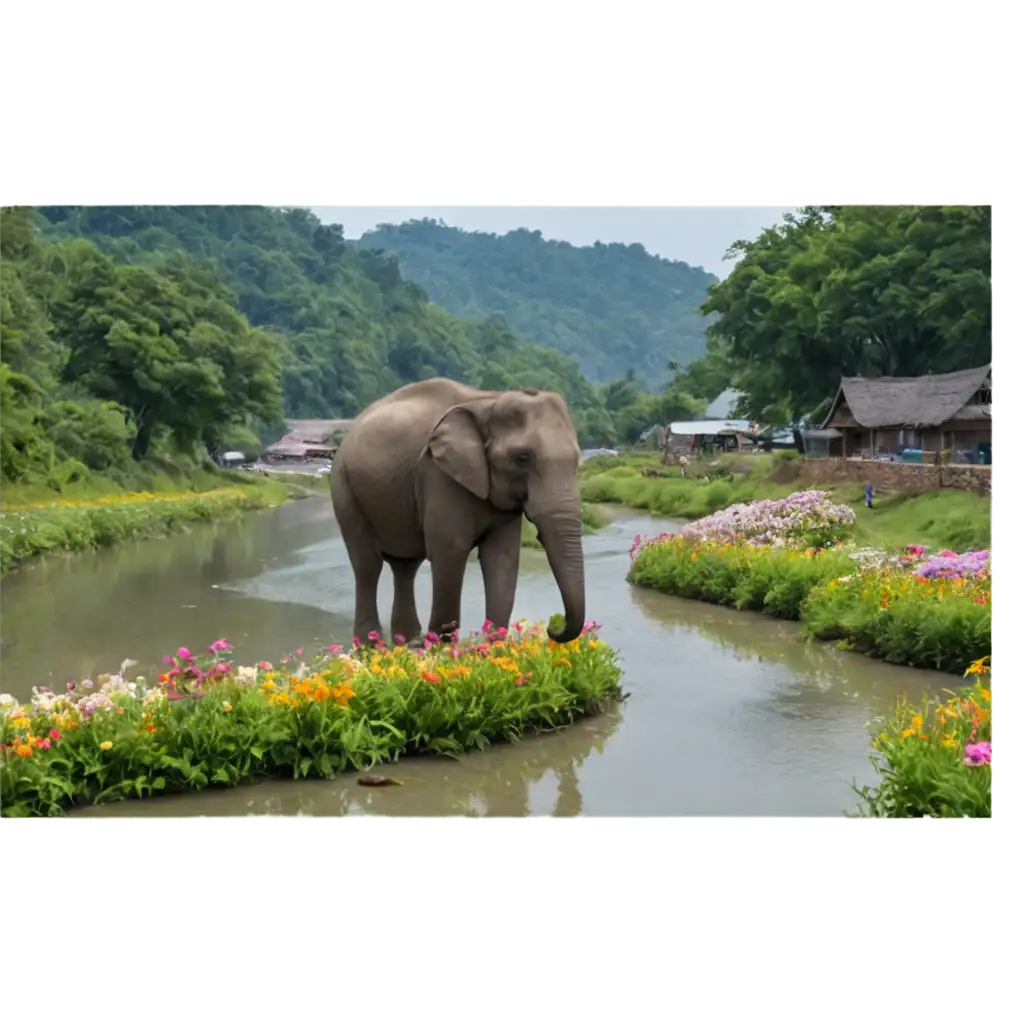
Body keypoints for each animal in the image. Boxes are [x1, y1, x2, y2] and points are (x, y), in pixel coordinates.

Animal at [327, 376, 585, 647]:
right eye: (522, 458)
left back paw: (406, 644)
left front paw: (490, 650)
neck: (489, 400)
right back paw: (371, 647)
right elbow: (451, 551)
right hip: (344, 486)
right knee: (368, 565)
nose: (553, 626)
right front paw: (441, 650)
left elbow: (502, 557)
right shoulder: (438, 474)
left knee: (405, 566)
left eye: (577, 461)